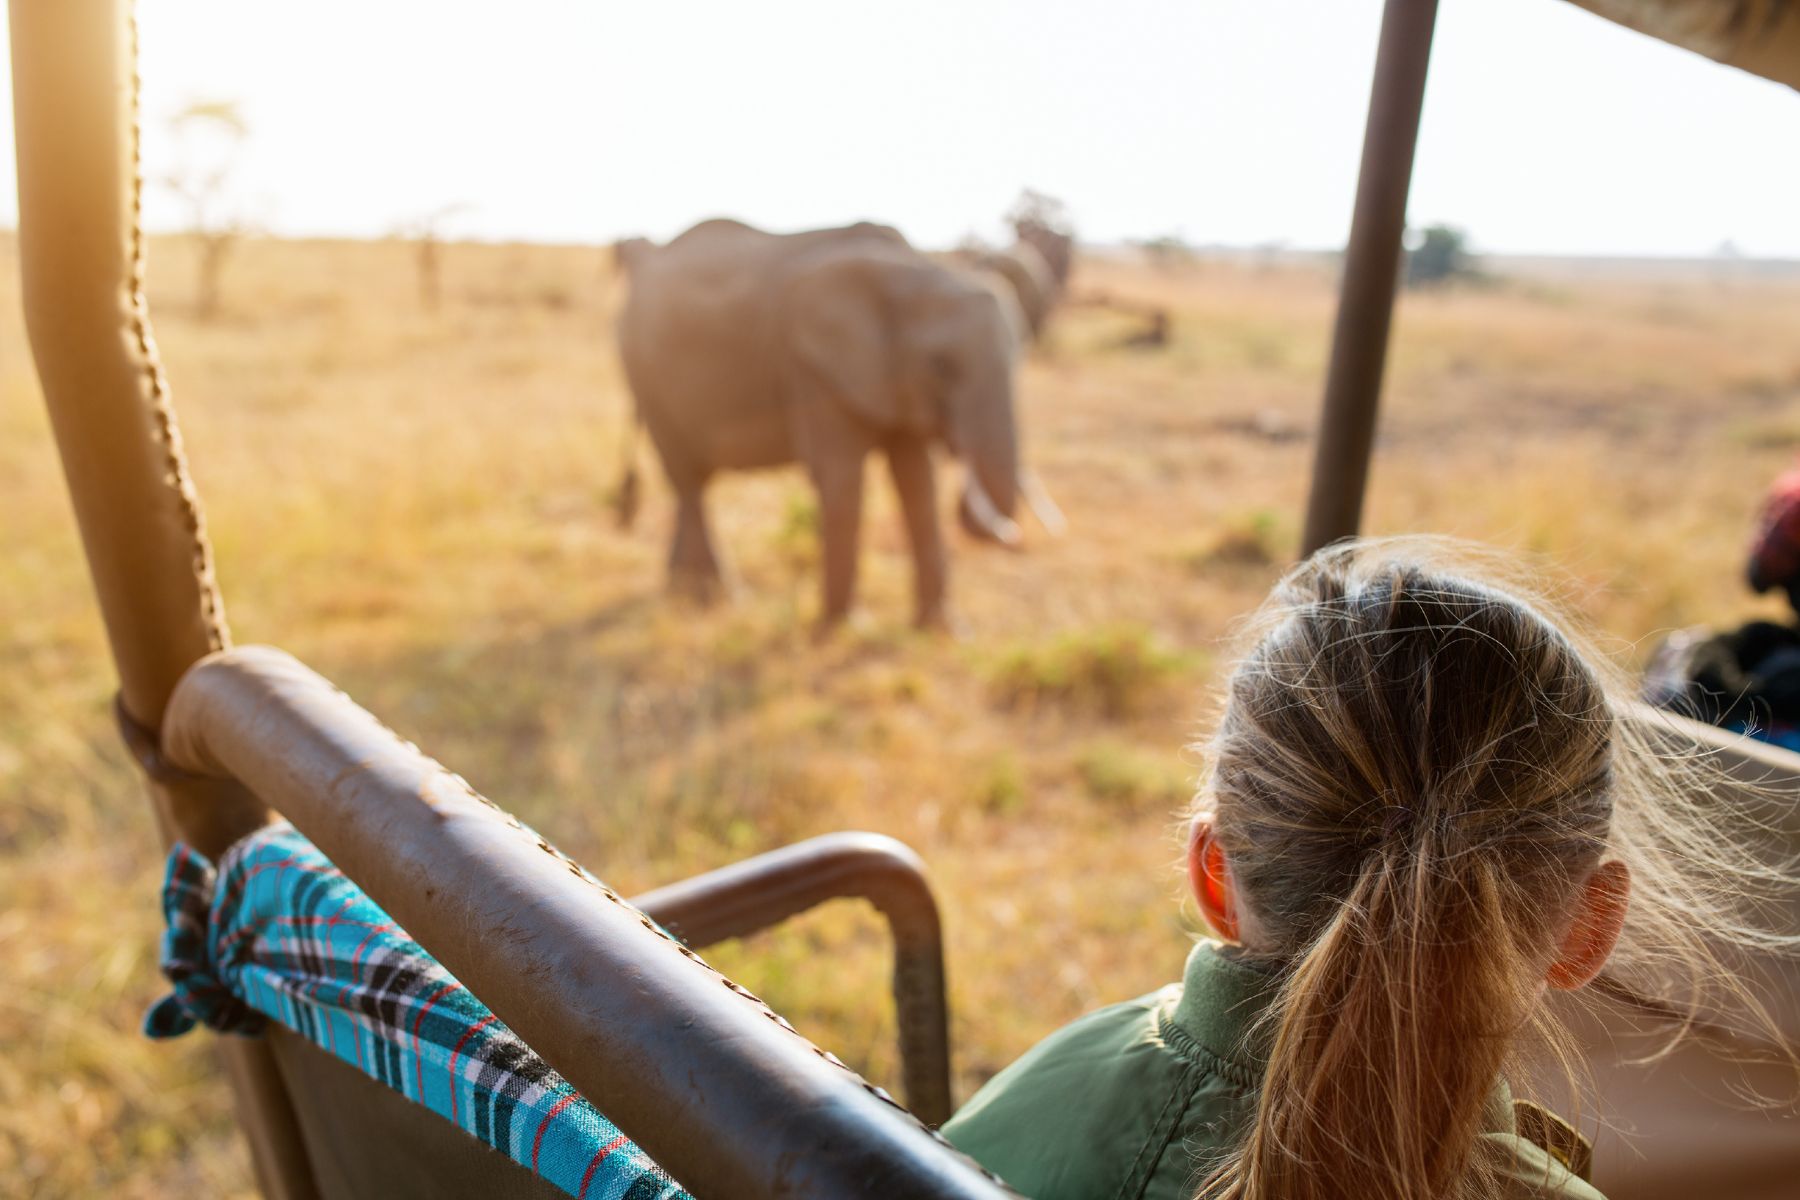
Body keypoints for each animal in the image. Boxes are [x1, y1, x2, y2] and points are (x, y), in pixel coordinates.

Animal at [615, 218, 1051, 629]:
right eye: (941, 366)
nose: (1011, 533)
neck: (911, 271)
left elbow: (918, 482)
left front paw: (943, 630)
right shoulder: (811, 366)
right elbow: (843, 480)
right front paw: (845, 627)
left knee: (691, 482)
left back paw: (680, 591)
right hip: (646, 374)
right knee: (686, 478)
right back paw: (717, 599)